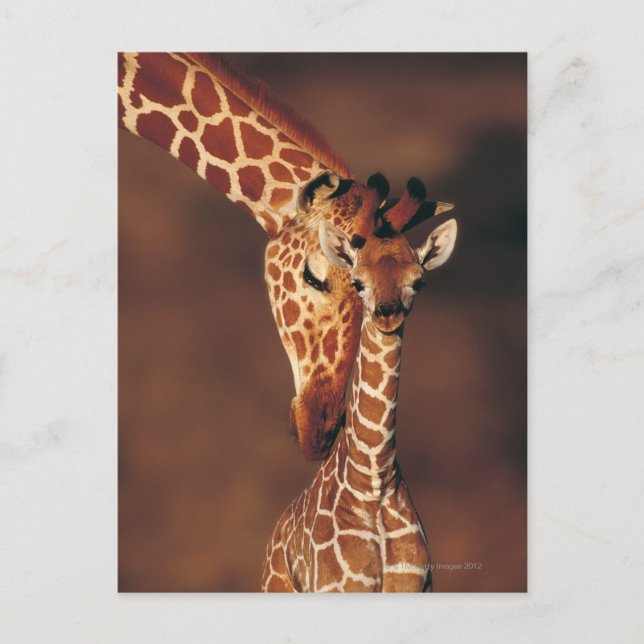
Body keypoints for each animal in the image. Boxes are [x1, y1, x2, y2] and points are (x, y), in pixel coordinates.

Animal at [261, 178, 458, 592]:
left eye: (418, 281)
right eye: (358, 282)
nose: (387, 313)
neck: (374, 481)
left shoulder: (418, 585)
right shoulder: (337, 586)